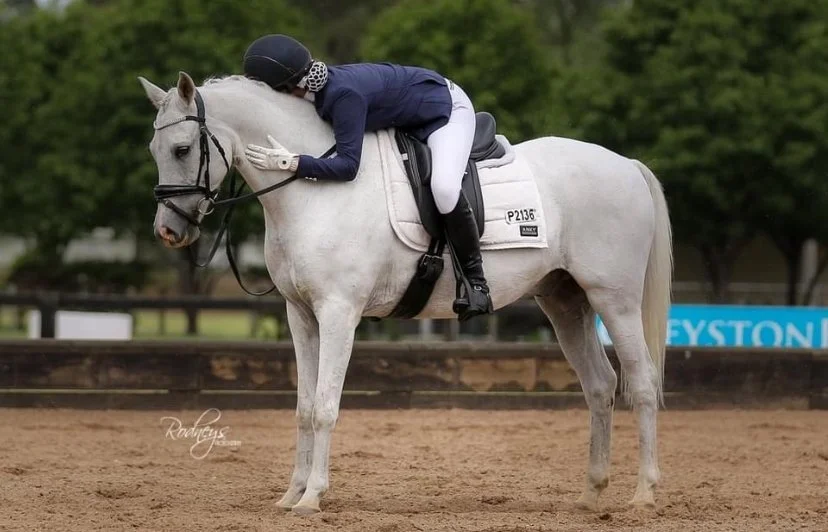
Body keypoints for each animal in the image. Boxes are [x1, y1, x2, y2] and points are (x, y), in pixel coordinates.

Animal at [138, 71, 673, 515]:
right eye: (154, 151)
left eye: (182, 150)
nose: (167, 231)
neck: (312, 189)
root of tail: (626, 164)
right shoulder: (301, 316)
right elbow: (305, 409)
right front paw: (291, 494)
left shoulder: (338, 313)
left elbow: (326, 406)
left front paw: (313, 497)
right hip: (565, 301)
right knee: (600, 385)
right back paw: (591, 494)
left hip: (615, 300)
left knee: (642, 383)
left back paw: (644, 494)